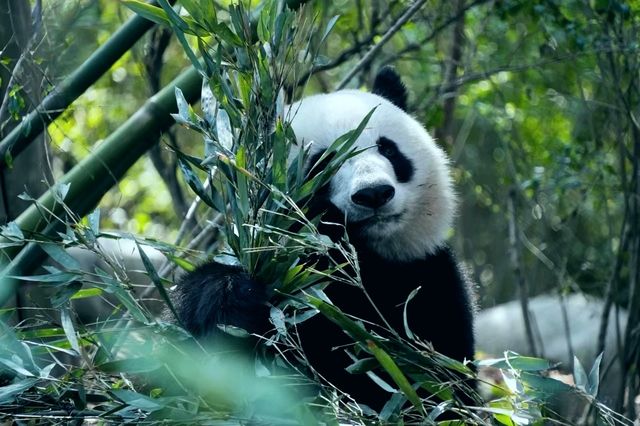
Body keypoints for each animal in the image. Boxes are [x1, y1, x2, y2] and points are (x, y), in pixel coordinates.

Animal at [171, 68, 476, 412]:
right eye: (322, 161)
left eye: (388, 149)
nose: (374, 193)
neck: (364, 262)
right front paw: (232, 300)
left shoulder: (430, 281)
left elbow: (438, 383)